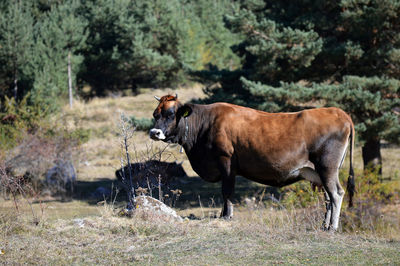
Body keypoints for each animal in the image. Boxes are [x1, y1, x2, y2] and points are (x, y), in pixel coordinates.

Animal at [149, 94, 354, 230]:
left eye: (171, 114)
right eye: (155, 114)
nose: (154, 132)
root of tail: (338, 112)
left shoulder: (226, 162)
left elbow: (227, 191)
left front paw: (226, 216)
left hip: (327, 167)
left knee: (336, 193)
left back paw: (332, 227)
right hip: (319, 172)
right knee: (328, 197)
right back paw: (324, 225)